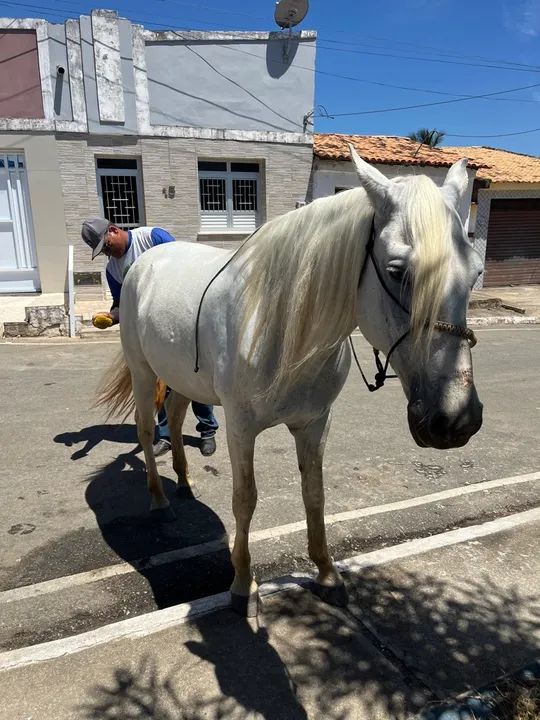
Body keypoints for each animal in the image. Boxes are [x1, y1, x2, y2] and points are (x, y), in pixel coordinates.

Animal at [97, 146, 484, 616]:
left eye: (476, 273)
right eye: (397, 272)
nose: (456, 419)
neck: (282, 328)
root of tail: (143, 261)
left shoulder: (315, 423)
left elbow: (314, 494)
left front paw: (327, 573)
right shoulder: (241, 428)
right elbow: (245, 500)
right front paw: (243, 585)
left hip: (182, 378)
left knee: (173, 411)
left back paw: (185, 484)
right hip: (143, 371)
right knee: (147, 429)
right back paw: (160, 499)